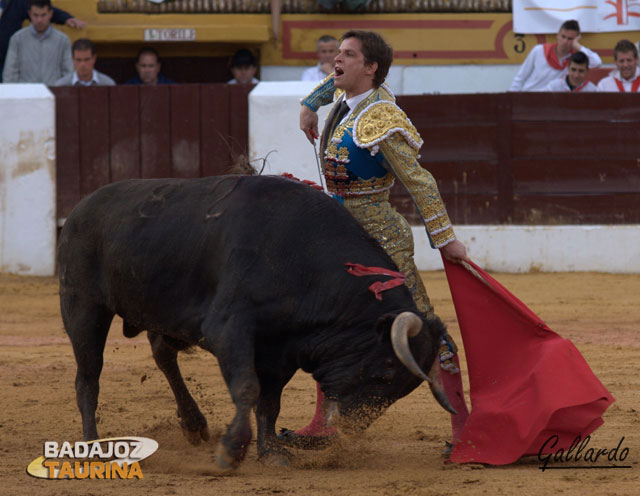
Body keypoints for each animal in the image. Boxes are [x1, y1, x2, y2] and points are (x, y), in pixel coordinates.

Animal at [57, 174, 452, 468]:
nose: (350, 429)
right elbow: (247, 387)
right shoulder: (229, 329)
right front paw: (233, 450)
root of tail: (77, 212)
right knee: (87, 378)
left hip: (160, 310)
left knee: (162, 354)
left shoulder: (281, 350)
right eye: (387, 367)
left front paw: (271, 452)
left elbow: (269, 401)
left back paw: (194, 425)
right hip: (83, 308)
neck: (300, 258)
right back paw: (92, 445)